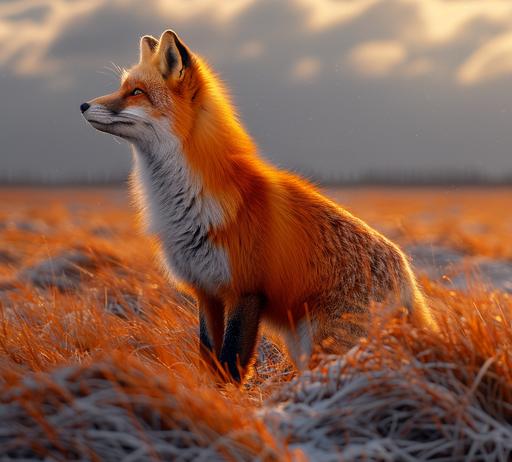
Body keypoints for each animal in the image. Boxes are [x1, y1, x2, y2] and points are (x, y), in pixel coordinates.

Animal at [80, 29, 436, 382]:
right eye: (122, 88)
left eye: (136, 92)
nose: (83, 105)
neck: (186, 202)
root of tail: (406, 272)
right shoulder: (206, 290)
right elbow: (209, 357)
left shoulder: (246, 290)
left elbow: (231, 363)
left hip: (323, 343)